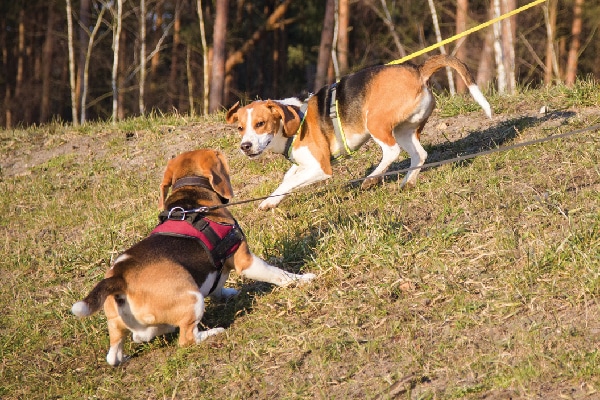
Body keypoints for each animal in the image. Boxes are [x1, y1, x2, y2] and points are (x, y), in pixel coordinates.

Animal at [71, 148, 314, 366]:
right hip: (193, 299)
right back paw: (213, 332)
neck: (191, 199)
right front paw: (301, 279)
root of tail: (120, 277)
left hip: (115, 324)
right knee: (185, 339)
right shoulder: (245, 260)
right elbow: (278, 274)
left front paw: (228, 292)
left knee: (115, 354)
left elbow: (218, 286)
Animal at [225, 55, 492, 209]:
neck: (294, 121)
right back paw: (407, 182)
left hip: (375, 122)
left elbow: (289, 181)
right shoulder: (304, 163)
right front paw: (271, 201)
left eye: (260, 123)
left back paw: (371, 179)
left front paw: (272, 199)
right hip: (404, 130)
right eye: (240, 128)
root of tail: (416, 69)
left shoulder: (321, 167)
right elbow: (288, 178)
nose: (245, 146)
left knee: (392, 152)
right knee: (420, 155)